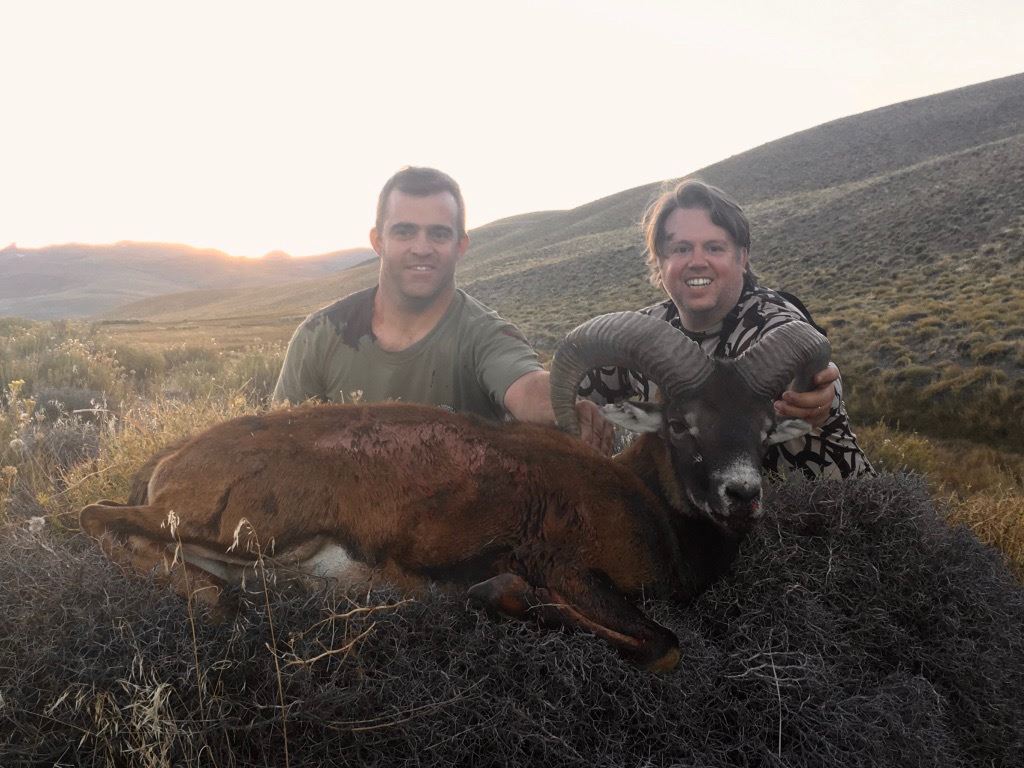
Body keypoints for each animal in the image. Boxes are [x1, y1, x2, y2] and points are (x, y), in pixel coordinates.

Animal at [80, 312, 829, 671]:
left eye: (766, 428)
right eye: (680, 423)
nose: (741, 495)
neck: (647, 509)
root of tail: (172, 461)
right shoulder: (570, 570)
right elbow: (664, 644)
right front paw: (500, 595)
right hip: (241, 528)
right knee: (102, 518)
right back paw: (221, 603)